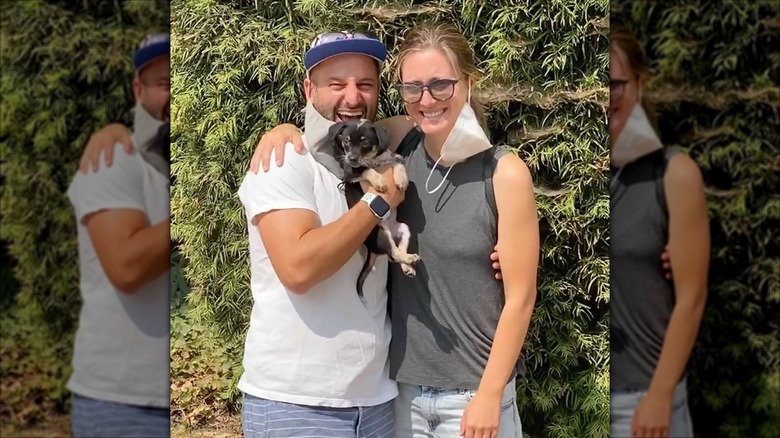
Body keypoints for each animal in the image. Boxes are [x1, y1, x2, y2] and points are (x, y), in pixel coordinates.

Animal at [324, 120, 420, 298]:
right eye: (346, 141)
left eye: (365, 142)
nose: (351, 158)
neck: (374, 159)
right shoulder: (350, 172)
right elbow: (366, 170)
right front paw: (380, 181)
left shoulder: (392, 157)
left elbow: (398, 163)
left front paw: (401, 180)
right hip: (381, 232)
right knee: (393, 254)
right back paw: (409, 260)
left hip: (404, 229)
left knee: (397, 251)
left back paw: (407, 264)